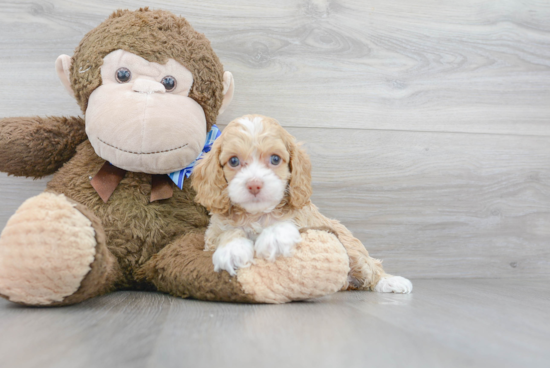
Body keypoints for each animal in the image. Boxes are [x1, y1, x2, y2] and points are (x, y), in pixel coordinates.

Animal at [194, 115, 414, 294]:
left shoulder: (307, 220)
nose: (254, 184)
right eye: (233, 161)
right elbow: (228, 232)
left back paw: (391, 281)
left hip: (352, 250)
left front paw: (274, 237)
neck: (257, 214)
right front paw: (232, 249)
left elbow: (287, 224)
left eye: (275, 159)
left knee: (371, 266)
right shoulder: (213, 233)